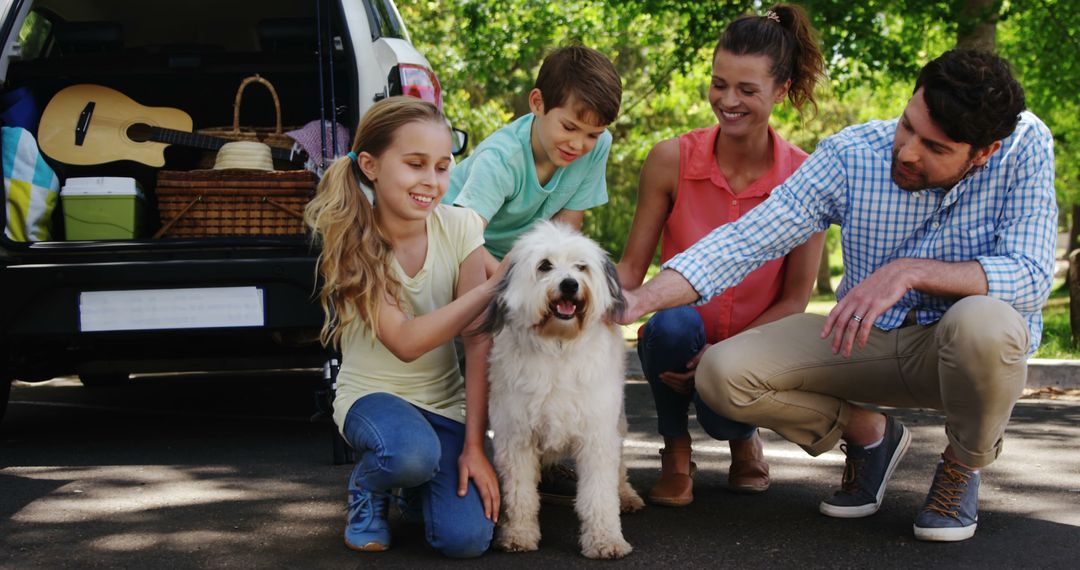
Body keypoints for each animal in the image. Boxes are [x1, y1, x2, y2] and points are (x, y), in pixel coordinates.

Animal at [486, 220, 643, 557]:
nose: (570, 284)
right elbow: (520, 496)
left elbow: (599, 495)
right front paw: (518, 535)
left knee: (619, 465)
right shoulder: (515, 437)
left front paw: (606, 540)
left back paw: (626, 495)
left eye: (581, 267)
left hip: (617, 420)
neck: (557, 346)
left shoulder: (597, 436)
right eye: (544, 266)